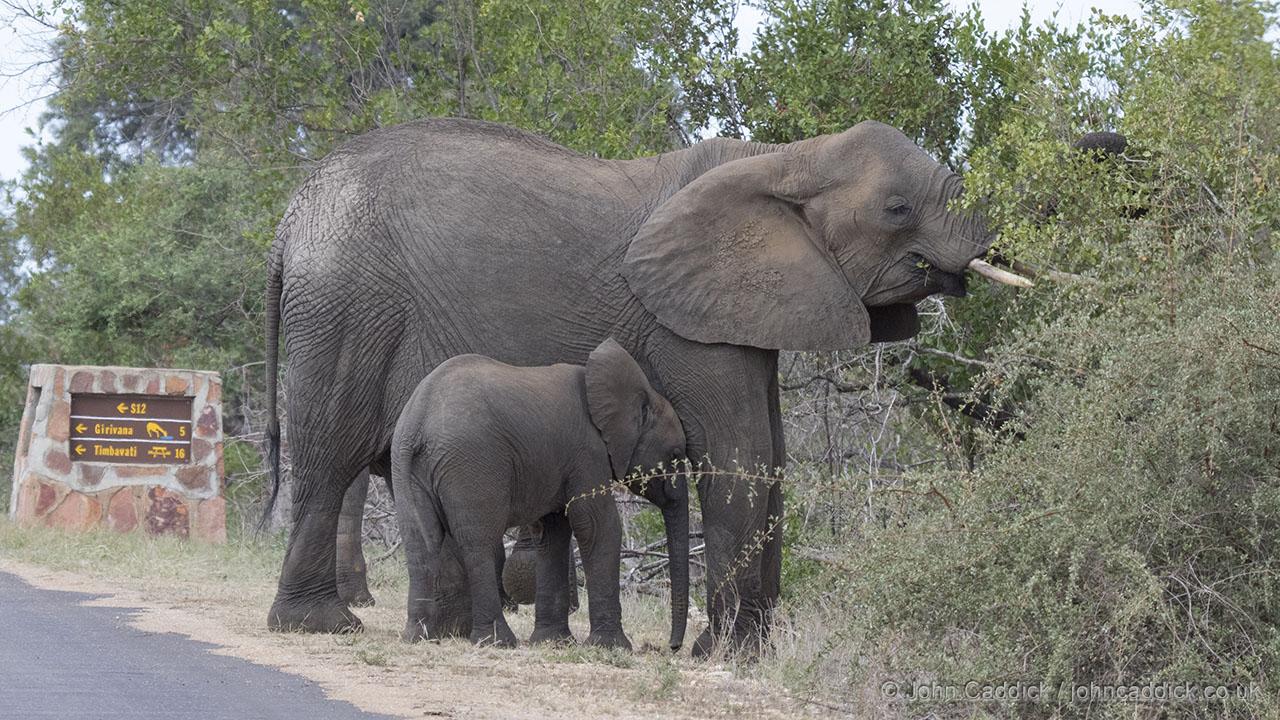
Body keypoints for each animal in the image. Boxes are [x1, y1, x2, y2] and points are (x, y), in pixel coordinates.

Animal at [392, 338, 688, 650]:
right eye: (675, 454)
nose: (672, 647)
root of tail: (417, 423)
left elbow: (553, 532)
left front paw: (552, 642)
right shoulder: (588, 453)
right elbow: (598, 526)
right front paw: (612, 646)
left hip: (405, 465)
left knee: (419, 541)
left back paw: (418, 636)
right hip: (471, 463)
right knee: (478, 542)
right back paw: (498, 641)